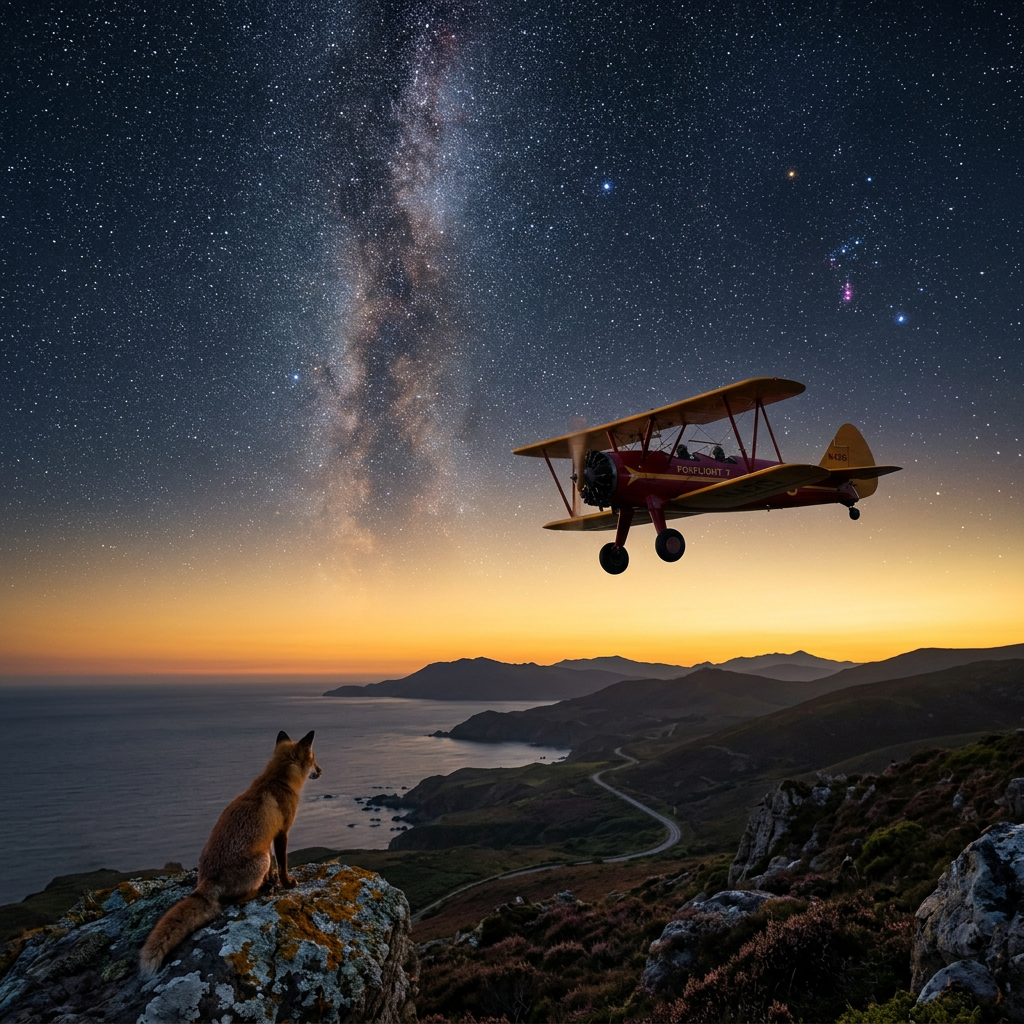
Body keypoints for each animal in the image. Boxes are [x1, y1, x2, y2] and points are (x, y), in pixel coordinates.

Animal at [139, 729, 322, 976]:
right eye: (314, 759)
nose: (321, 771)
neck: (278, 780)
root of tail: (206, 880)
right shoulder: (281, 833)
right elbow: (283, 863)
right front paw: (286, 883)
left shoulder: (268, 839)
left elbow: (274, 868)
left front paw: (273, 879)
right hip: (261, 859)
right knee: (239, 899)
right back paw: (261, 891)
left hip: (262, 856)